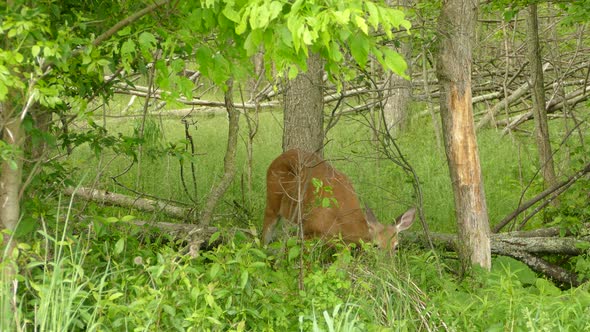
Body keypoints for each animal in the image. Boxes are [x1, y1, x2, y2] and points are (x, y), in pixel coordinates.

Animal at [264, 148, 416, 252]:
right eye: (376, 245)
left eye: (396, 246)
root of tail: (277, 158)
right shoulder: (309, 231)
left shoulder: (344, 245)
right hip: (272, 202)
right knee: (264, 235)